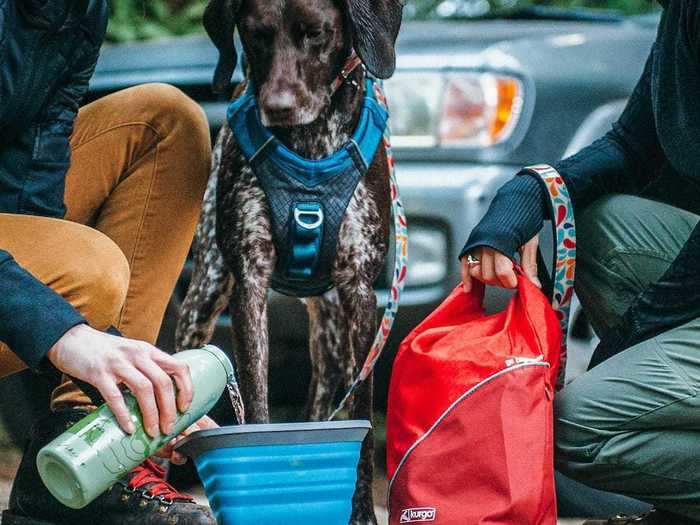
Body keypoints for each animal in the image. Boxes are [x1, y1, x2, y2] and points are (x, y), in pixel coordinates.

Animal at [176, 2, 404, 520]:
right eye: (254, 36)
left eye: (315, 33)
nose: (276, 107)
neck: (311, 145)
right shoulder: (249, 283)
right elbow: (257, 404)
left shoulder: (360, 293)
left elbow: (361, 418)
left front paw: (361, 512)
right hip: (204, 296)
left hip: (333, 333)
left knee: (322, 403)